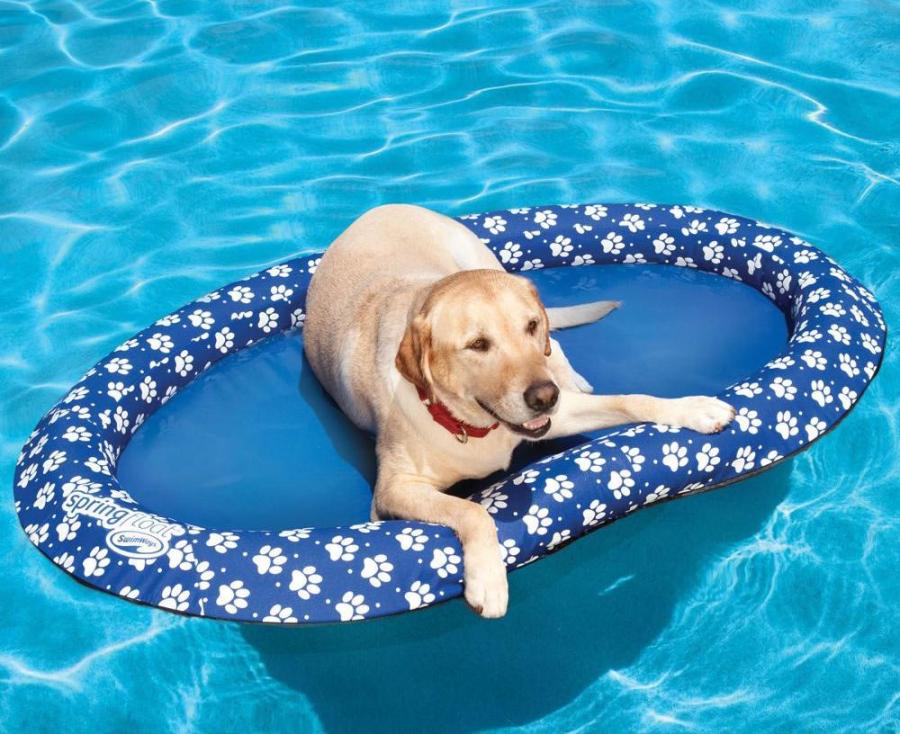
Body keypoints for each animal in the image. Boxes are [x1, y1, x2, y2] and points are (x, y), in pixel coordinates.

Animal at [306, 204, 736, 620]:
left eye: (530, 325)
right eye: (478, 344)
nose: (545, 396)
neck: (472, 425)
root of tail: (379, 210)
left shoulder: (558, 414)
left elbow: (632, 399)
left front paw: (693, 408)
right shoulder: (393, 491)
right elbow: (472, 511)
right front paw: (489, 581)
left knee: (557, 346)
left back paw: (570, 376)